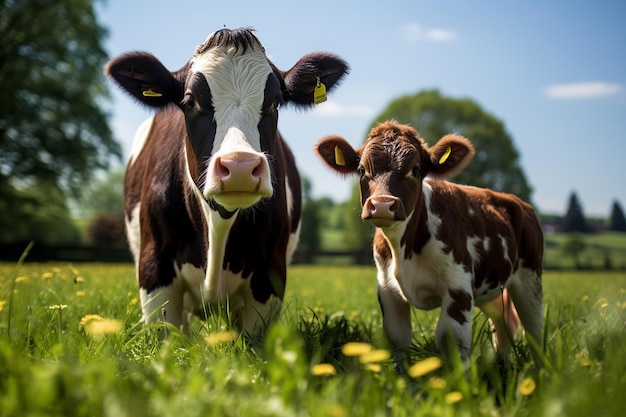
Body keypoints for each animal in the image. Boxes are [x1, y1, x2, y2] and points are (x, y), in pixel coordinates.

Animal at [314, 120, 544, 368]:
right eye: (362, 170)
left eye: (414, 170)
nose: (382, 205)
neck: (404, 250)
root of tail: (516, 202)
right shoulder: (387, 288)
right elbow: (398, 338)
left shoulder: (459, 286)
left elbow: (451, 340)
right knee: (504, 322)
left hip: (530, 277)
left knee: (533, 328)